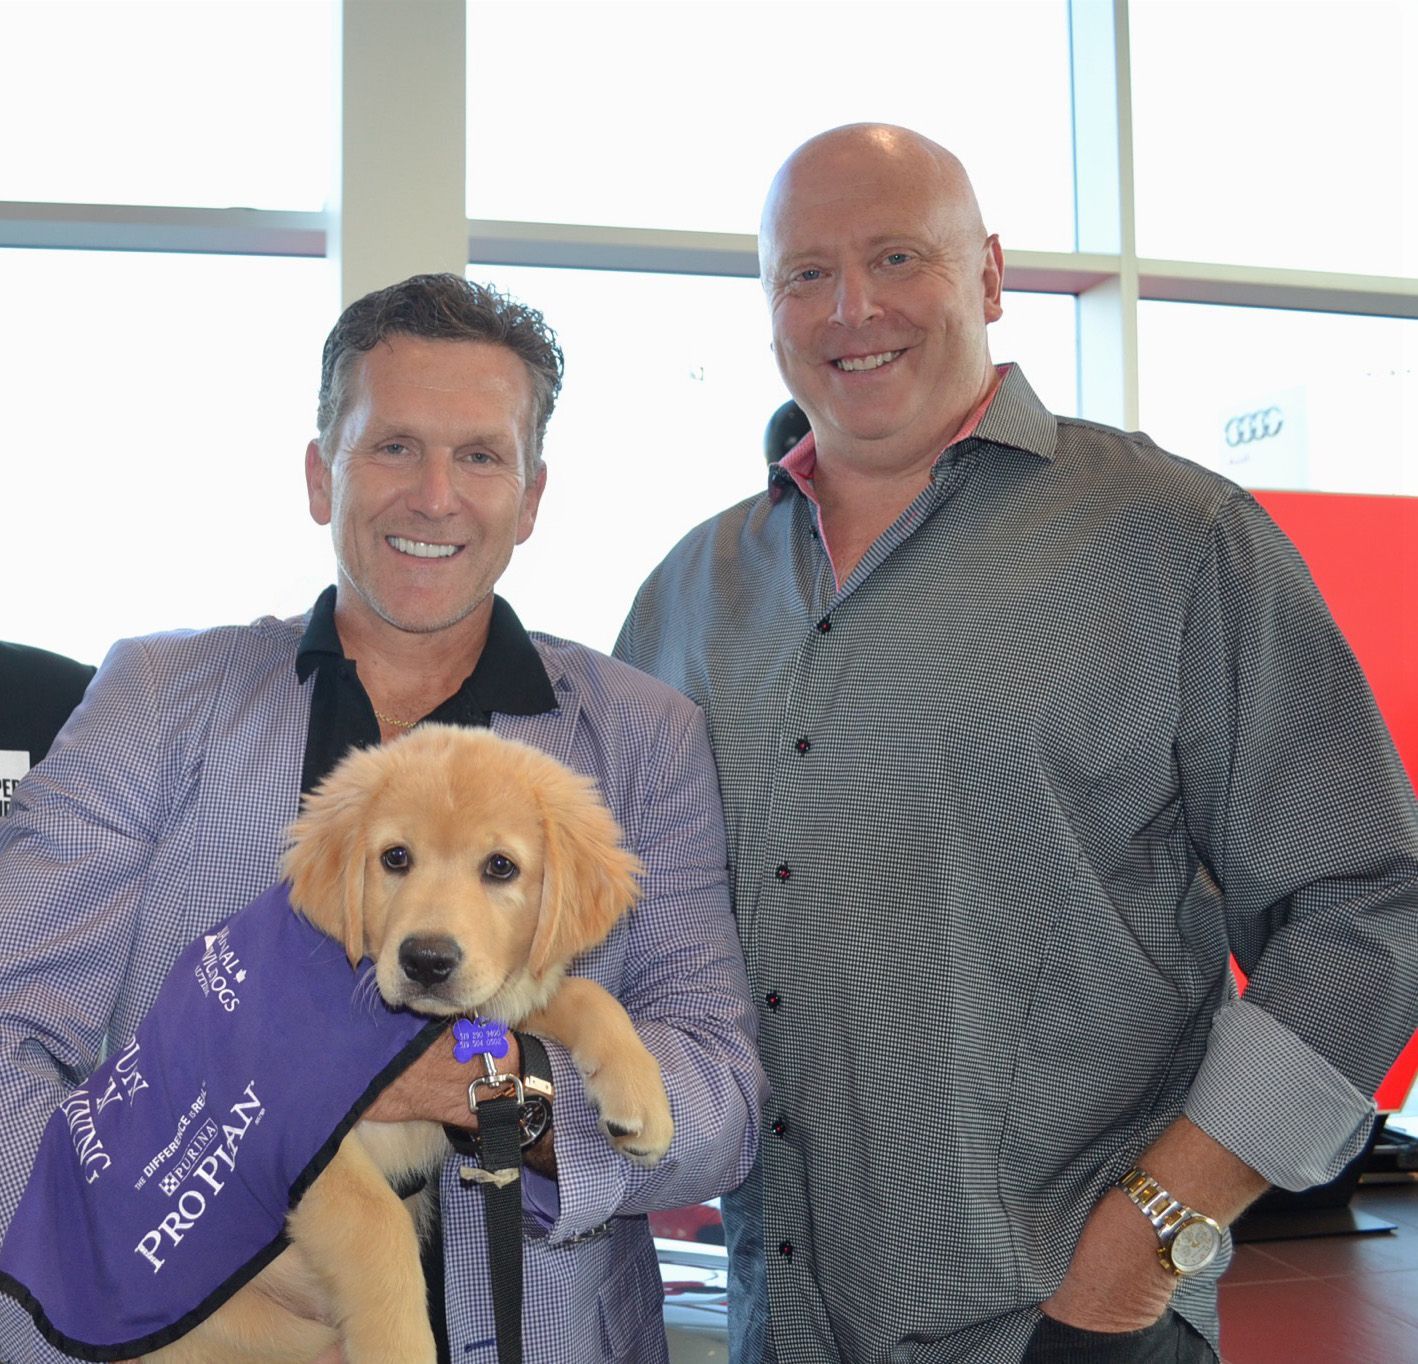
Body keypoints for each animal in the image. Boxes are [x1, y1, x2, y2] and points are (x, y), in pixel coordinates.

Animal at [152, 725, 672, 1361]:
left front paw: (642, 1101)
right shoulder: (291, 1142)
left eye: (501, 867)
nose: (426, 960)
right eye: (395, 857)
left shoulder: (495, 995)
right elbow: (379, 1224)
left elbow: (584, 992)